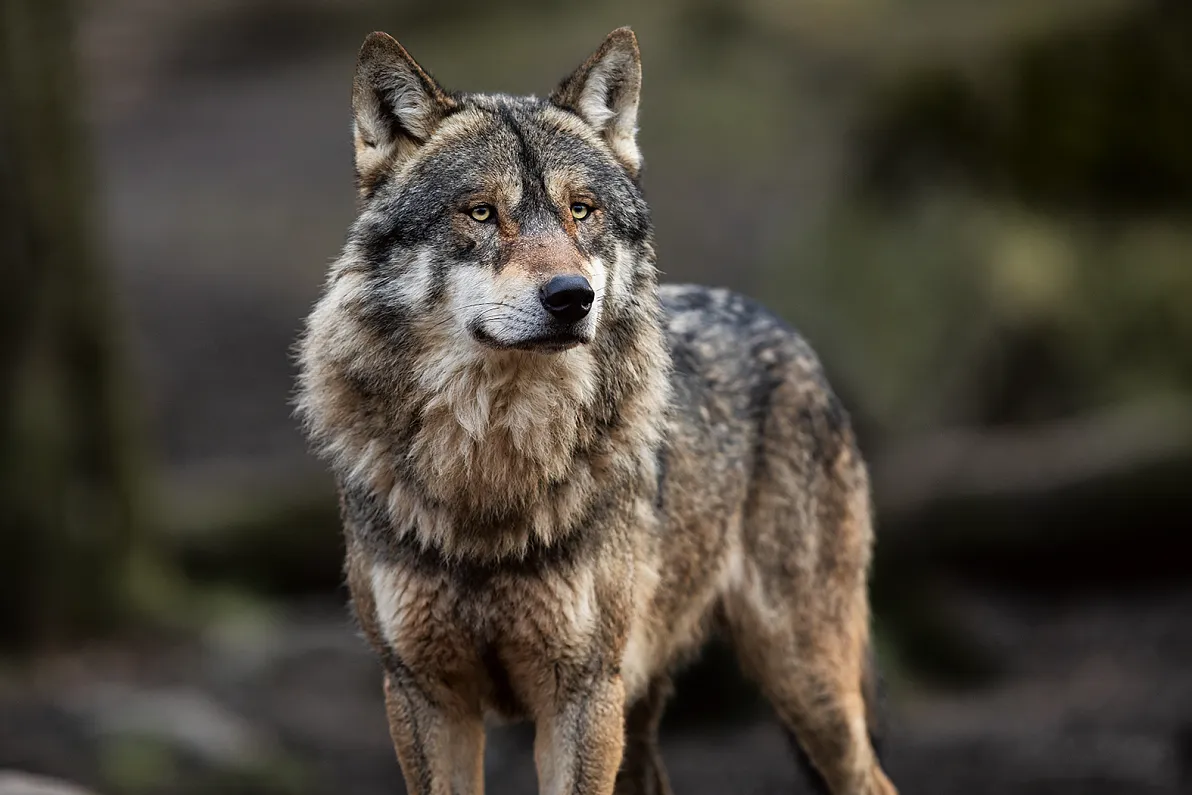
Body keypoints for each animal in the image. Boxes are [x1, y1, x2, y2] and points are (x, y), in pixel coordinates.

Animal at [296, 26, 897, 795]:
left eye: (581, 210)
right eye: (481, 211)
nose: (571, 296)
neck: (493, 466)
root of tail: (783, 329)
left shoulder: (579, 694)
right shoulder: (421, 693)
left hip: (803, 681)